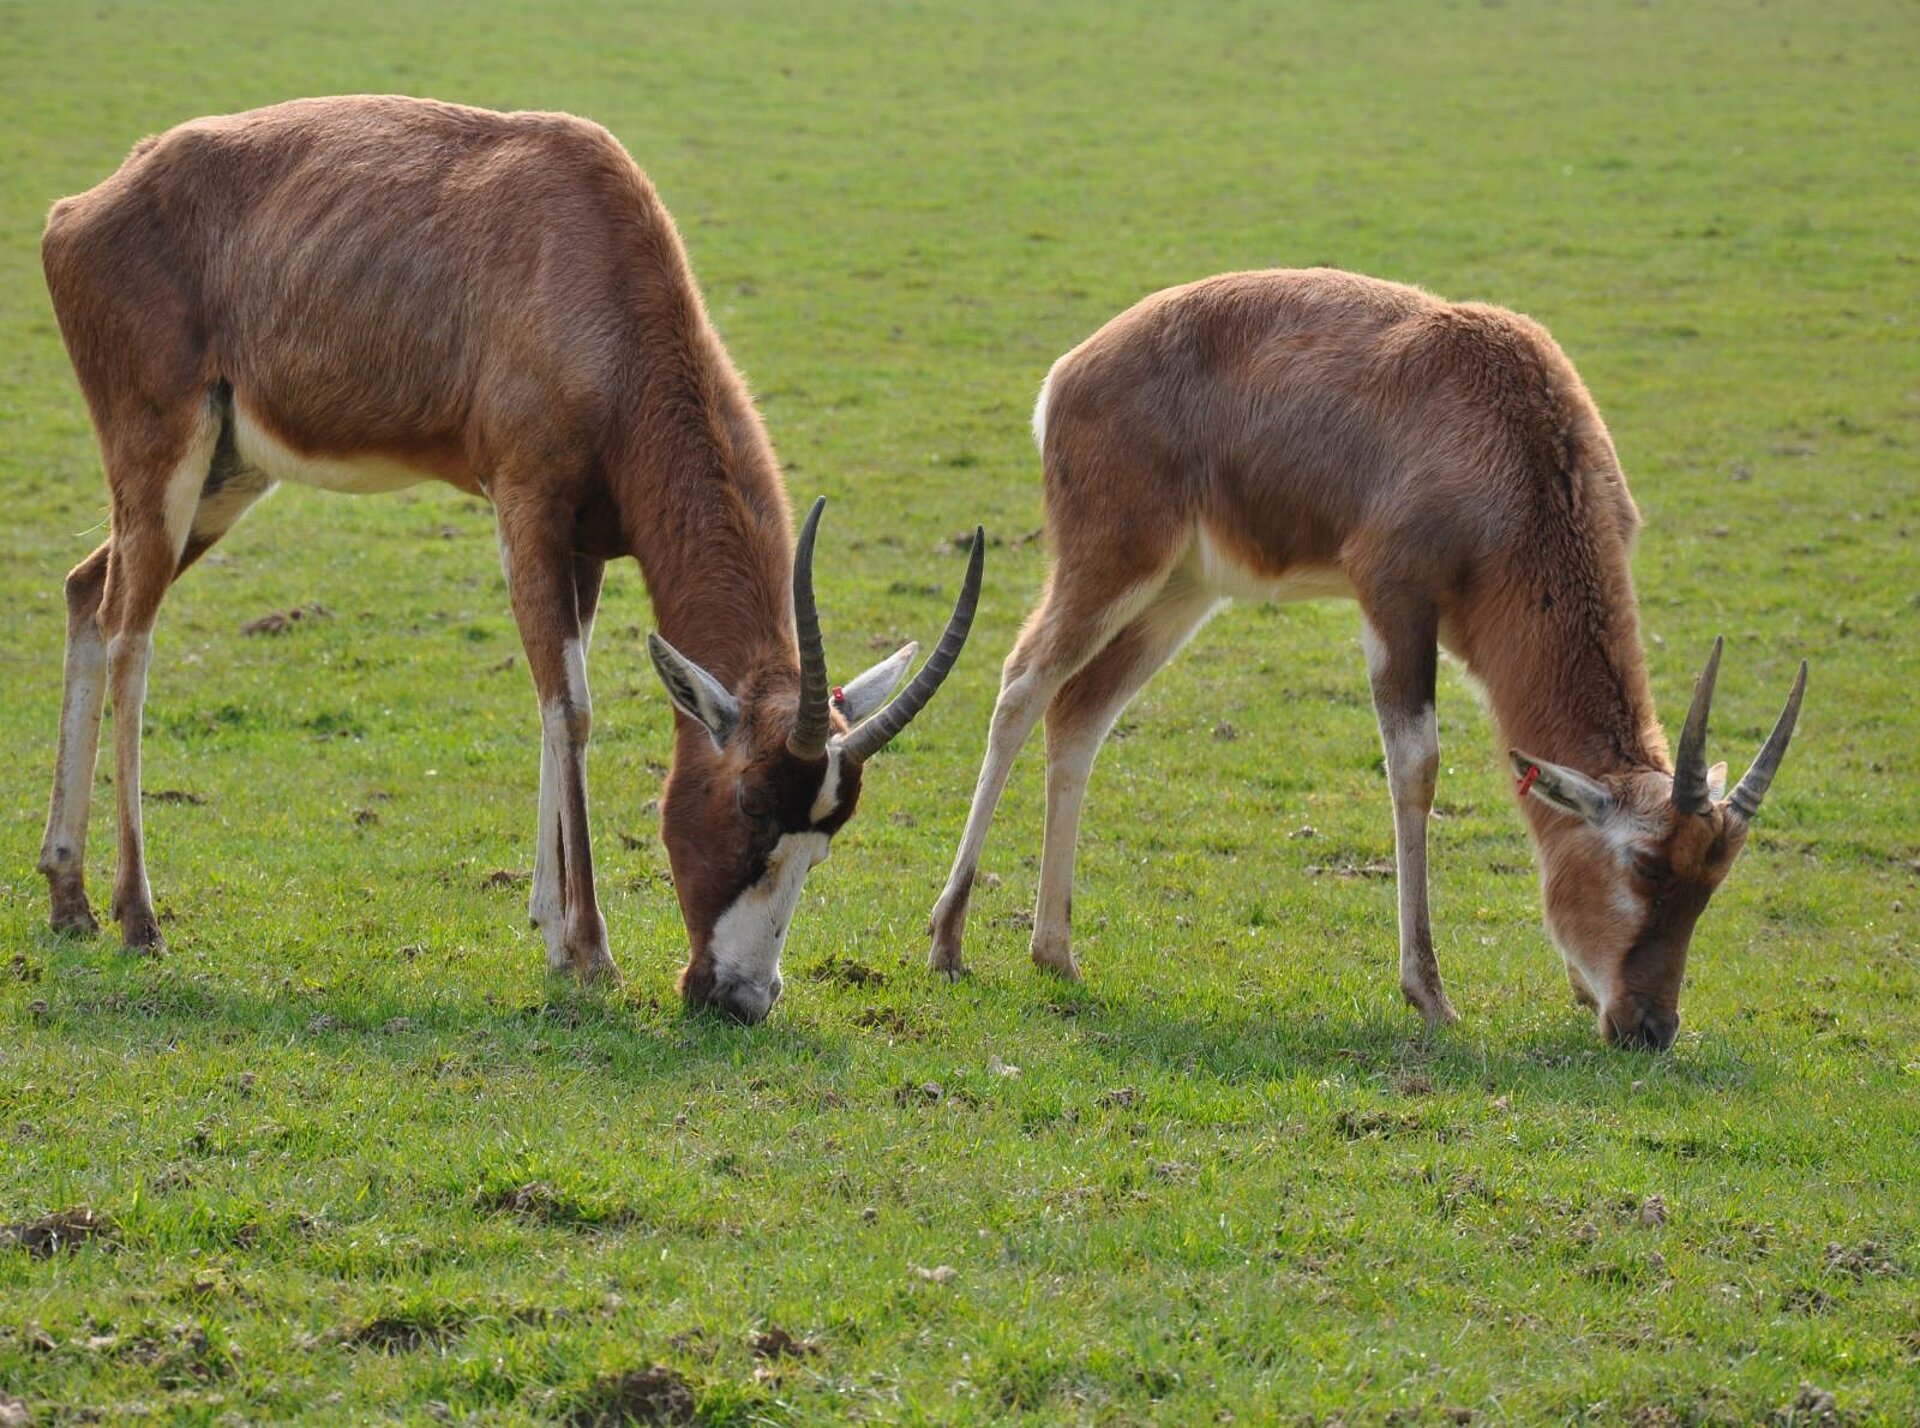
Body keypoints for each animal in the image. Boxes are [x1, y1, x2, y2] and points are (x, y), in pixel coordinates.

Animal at [35, 95, 983, 1021]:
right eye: (750, 805)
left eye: (827, 836)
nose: (740, 999)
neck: (592, 250)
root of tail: (84, 207)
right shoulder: (526, 504)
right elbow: (572, 708)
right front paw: (591, 955)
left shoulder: (586, 543)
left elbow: (552, 702)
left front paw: (549, 927)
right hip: (164, 455)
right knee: (129, 633)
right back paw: (138, 920)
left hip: (230, 474)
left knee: (86, 592)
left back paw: (69, 898)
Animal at [929, 270, 1797, 1051]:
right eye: (1645, 866)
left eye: (1710, 881)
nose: (1648, 1028)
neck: (1509, 416)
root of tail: (1070, 372)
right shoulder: (1394, 598)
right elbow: (1417, 767)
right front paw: (1432, 996)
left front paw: (1575, 988)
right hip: (1113, 564)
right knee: (1021, 685)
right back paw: (948, 940)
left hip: (1182, 591)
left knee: (1079, 714)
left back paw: (1056, 954)